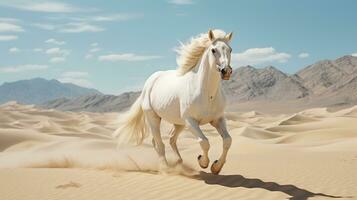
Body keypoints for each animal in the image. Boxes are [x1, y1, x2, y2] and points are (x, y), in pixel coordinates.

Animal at [112, 28, 232, 174]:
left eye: (230, 49)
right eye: (213, 50)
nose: (226, 71)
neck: (207, 94)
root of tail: (149, 83)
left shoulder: (217, 119)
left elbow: (227, 141)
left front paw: (216, 167)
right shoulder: (190, 121)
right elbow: (204, 142)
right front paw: (202, 162)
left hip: (179, 123)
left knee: (170, 140)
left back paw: (178, 161)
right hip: (154, 118)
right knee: (159, 143)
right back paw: (165, 168)